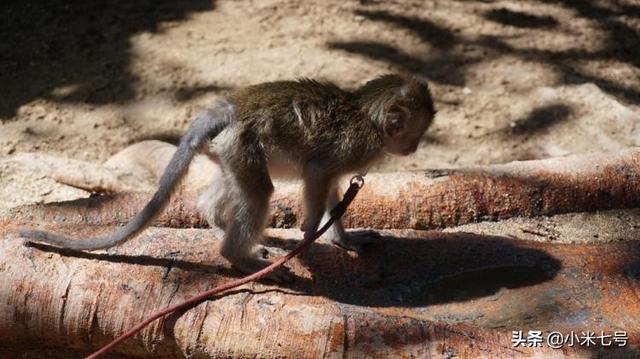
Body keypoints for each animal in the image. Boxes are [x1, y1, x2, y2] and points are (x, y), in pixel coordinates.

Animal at [22, 74, 438, 282]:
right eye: (415, 134)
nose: (415, 148)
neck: (366, 114)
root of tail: (229, 108)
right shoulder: (355, 145)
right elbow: (319, 173)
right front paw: (309, 234)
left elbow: (333, 184)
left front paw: (343, 239)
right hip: (240, 140)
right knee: (259, 191)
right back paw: (238, 258)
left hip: (224, 147)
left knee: (237, 184)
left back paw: (220, 224)